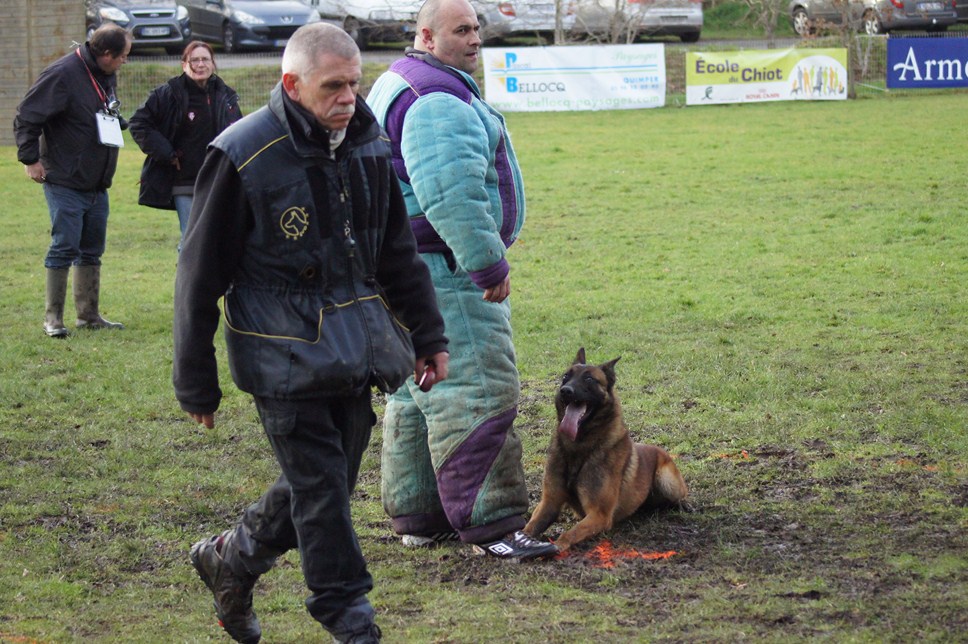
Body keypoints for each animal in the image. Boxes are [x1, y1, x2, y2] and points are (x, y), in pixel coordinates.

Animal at [520, 350, 688, 552]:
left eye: (589, 379)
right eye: (565, 377)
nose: (565, 390)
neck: (578, 446)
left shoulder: (599, 514)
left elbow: (570, 533)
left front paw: (557, 546)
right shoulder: (549, 503)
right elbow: (530, 527)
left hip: (667, 481)